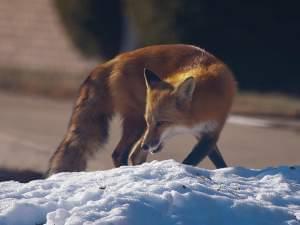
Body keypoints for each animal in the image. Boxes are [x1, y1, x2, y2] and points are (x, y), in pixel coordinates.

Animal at [46, 44, 237, 176]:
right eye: (151, 121)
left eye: (161, 123)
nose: (146, 145)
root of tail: (114, 60)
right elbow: (189, 162)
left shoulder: (209, 134)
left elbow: (219, 163)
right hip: (137, 123)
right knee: (120, 154)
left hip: (139, 128)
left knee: (134, 155)